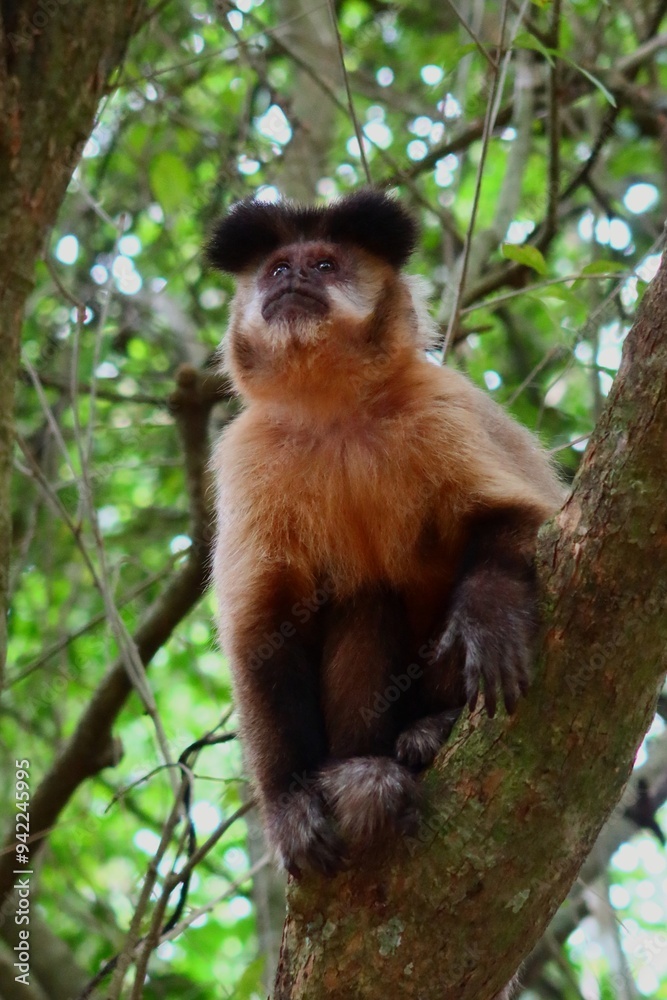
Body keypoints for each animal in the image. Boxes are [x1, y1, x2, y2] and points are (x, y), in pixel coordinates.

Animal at [205, 190, 565, 877]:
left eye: (323, 265)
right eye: (277, 268)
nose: (290, 280)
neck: (335, 410)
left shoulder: (442, 404)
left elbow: (526, 517)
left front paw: (490, 620)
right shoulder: (247, 454)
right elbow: (263, 627)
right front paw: (289, 804)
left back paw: (434, 727)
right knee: (365, 596)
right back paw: (370, 768)